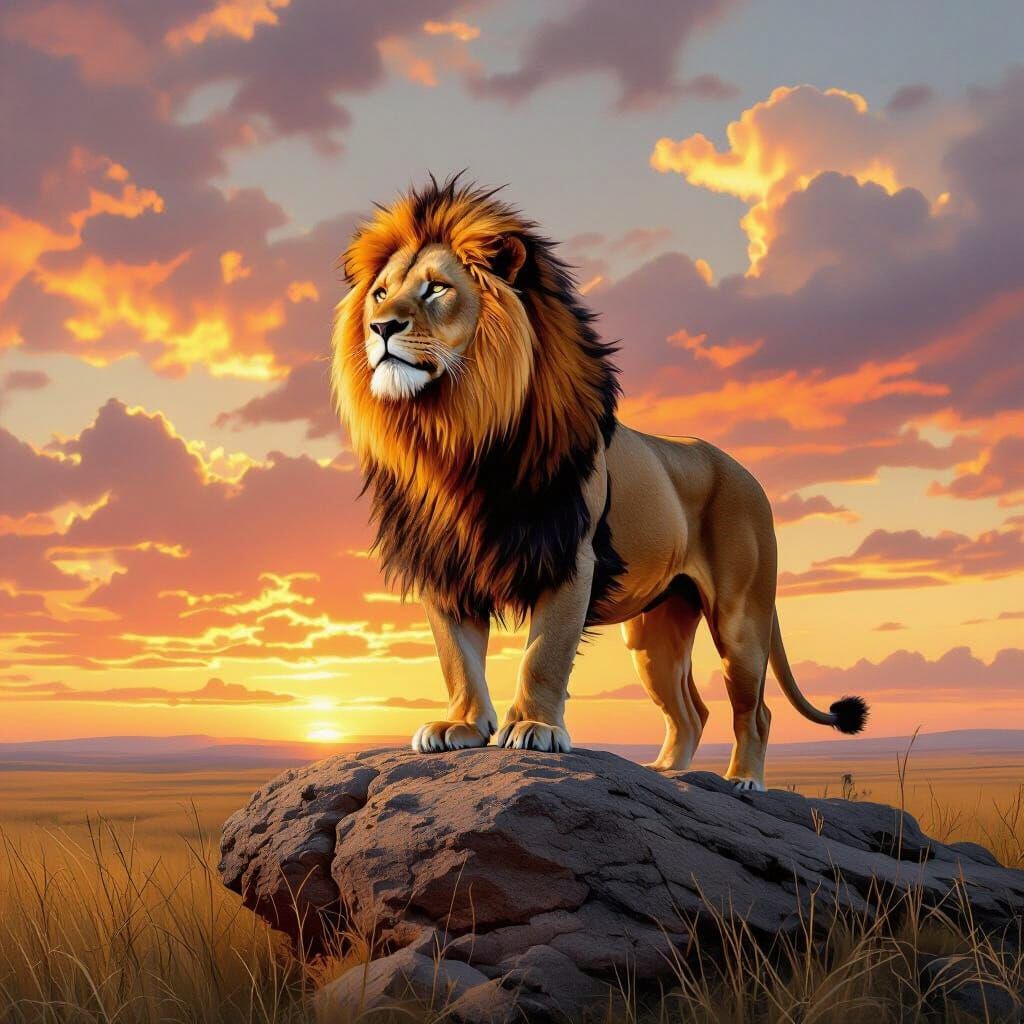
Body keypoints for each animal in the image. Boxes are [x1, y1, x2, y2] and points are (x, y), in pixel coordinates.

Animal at [331, 175, 867, 791]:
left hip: (741, 617)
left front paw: (534, 728)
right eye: (379, 295)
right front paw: (461, 727)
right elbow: (456, 658)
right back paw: (664, 772)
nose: (381, 328)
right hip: (655, 632)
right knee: (691, 711)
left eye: (436, 289)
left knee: (754, 710)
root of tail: (746, 472)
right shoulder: (445, 564)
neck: (455, 434)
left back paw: (743, 780)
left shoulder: (571, 555)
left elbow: (544, 654)